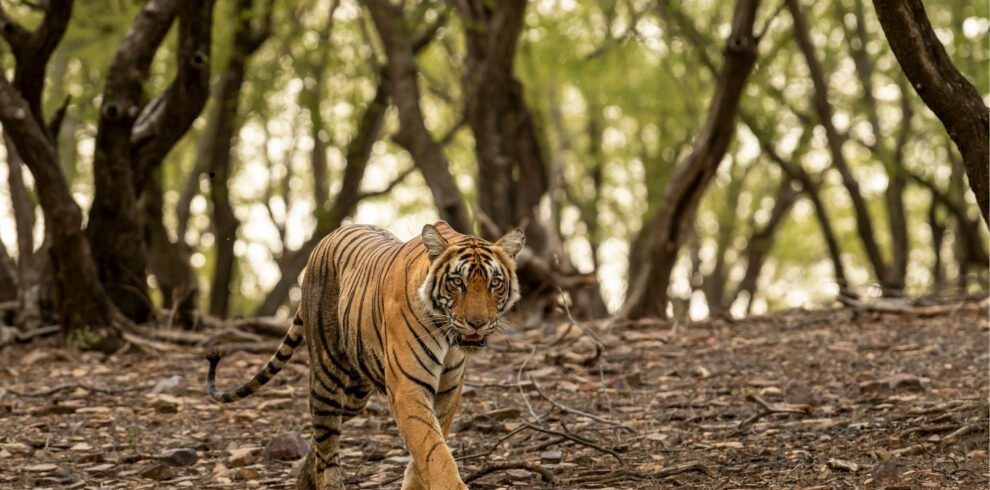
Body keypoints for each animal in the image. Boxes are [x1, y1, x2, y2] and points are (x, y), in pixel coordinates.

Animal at [206, 221, 524, 490]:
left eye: (495, 283)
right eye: (457, 282)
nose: (477, 323)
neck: (447, 337)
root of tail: (329, 236)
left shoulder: (448, 389)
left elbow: (427, 448)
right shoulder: (408, 387)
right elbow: (433, 450)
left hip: (356, 394)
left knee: (320, 441)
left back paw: (303, 481)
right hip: (327, 378)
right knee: (326, 446)